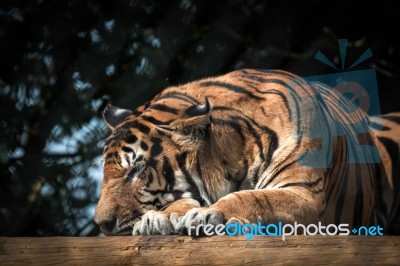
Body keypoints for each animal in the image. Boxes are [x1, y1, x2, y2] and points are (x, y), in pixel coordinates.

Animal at [93, 69, 400, 237]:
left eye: (137, 170)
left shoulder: (303, 193)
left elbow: (255, 198)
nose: (102, 224)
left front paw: (208, 214)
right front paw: (158, 218)